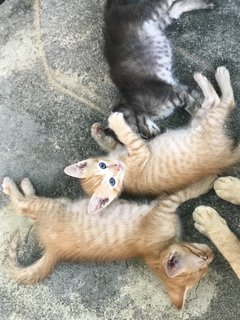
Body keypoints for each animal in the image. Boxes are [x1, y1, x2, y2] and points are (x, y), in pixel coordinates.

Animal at [2, 176, 216, 308]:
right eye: (201, 257)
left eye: (206, 265)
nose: (212, 253)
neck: (157, 250)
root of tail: (54, 250)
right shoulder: (164, 205)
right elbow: (188, 190)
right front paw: (208, 180)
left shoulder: (163, 205)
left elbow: (184, 191)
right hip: (52, 206)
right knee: (23, 206)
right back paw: (14, 184)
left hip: (53, 206)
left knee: (26, 208)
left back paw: (21, 187)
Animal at [64, 66, 240, 214]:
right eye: (112, 182)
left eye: (102, 165)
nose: (117, 166)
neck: (122, 164)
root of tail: (226, 155)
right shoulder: (140, 151)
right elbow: (127, 135)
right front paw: (115, 122)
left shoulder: (122, 148)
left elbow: (113, 142)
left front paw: (97, 132)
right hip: (208, 123)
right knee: (224, 102)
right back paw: (219, 76)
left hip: (200, 121)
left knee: (212, 103)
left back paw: (205, 79)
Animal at [102, 0, 212, 139]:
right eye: (141, 136)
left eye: (136, 132)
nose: (149, 137)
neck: (133, 103)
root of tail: (110, 10)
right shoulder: (178, 88)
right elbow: (197, 96)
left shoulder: (174, 93)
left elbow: (193, 106)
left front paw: (200, 114)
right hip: (161, 19)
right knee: (177, 7)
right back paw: (205, 4)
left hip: (152, 11)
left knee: (169, 3)